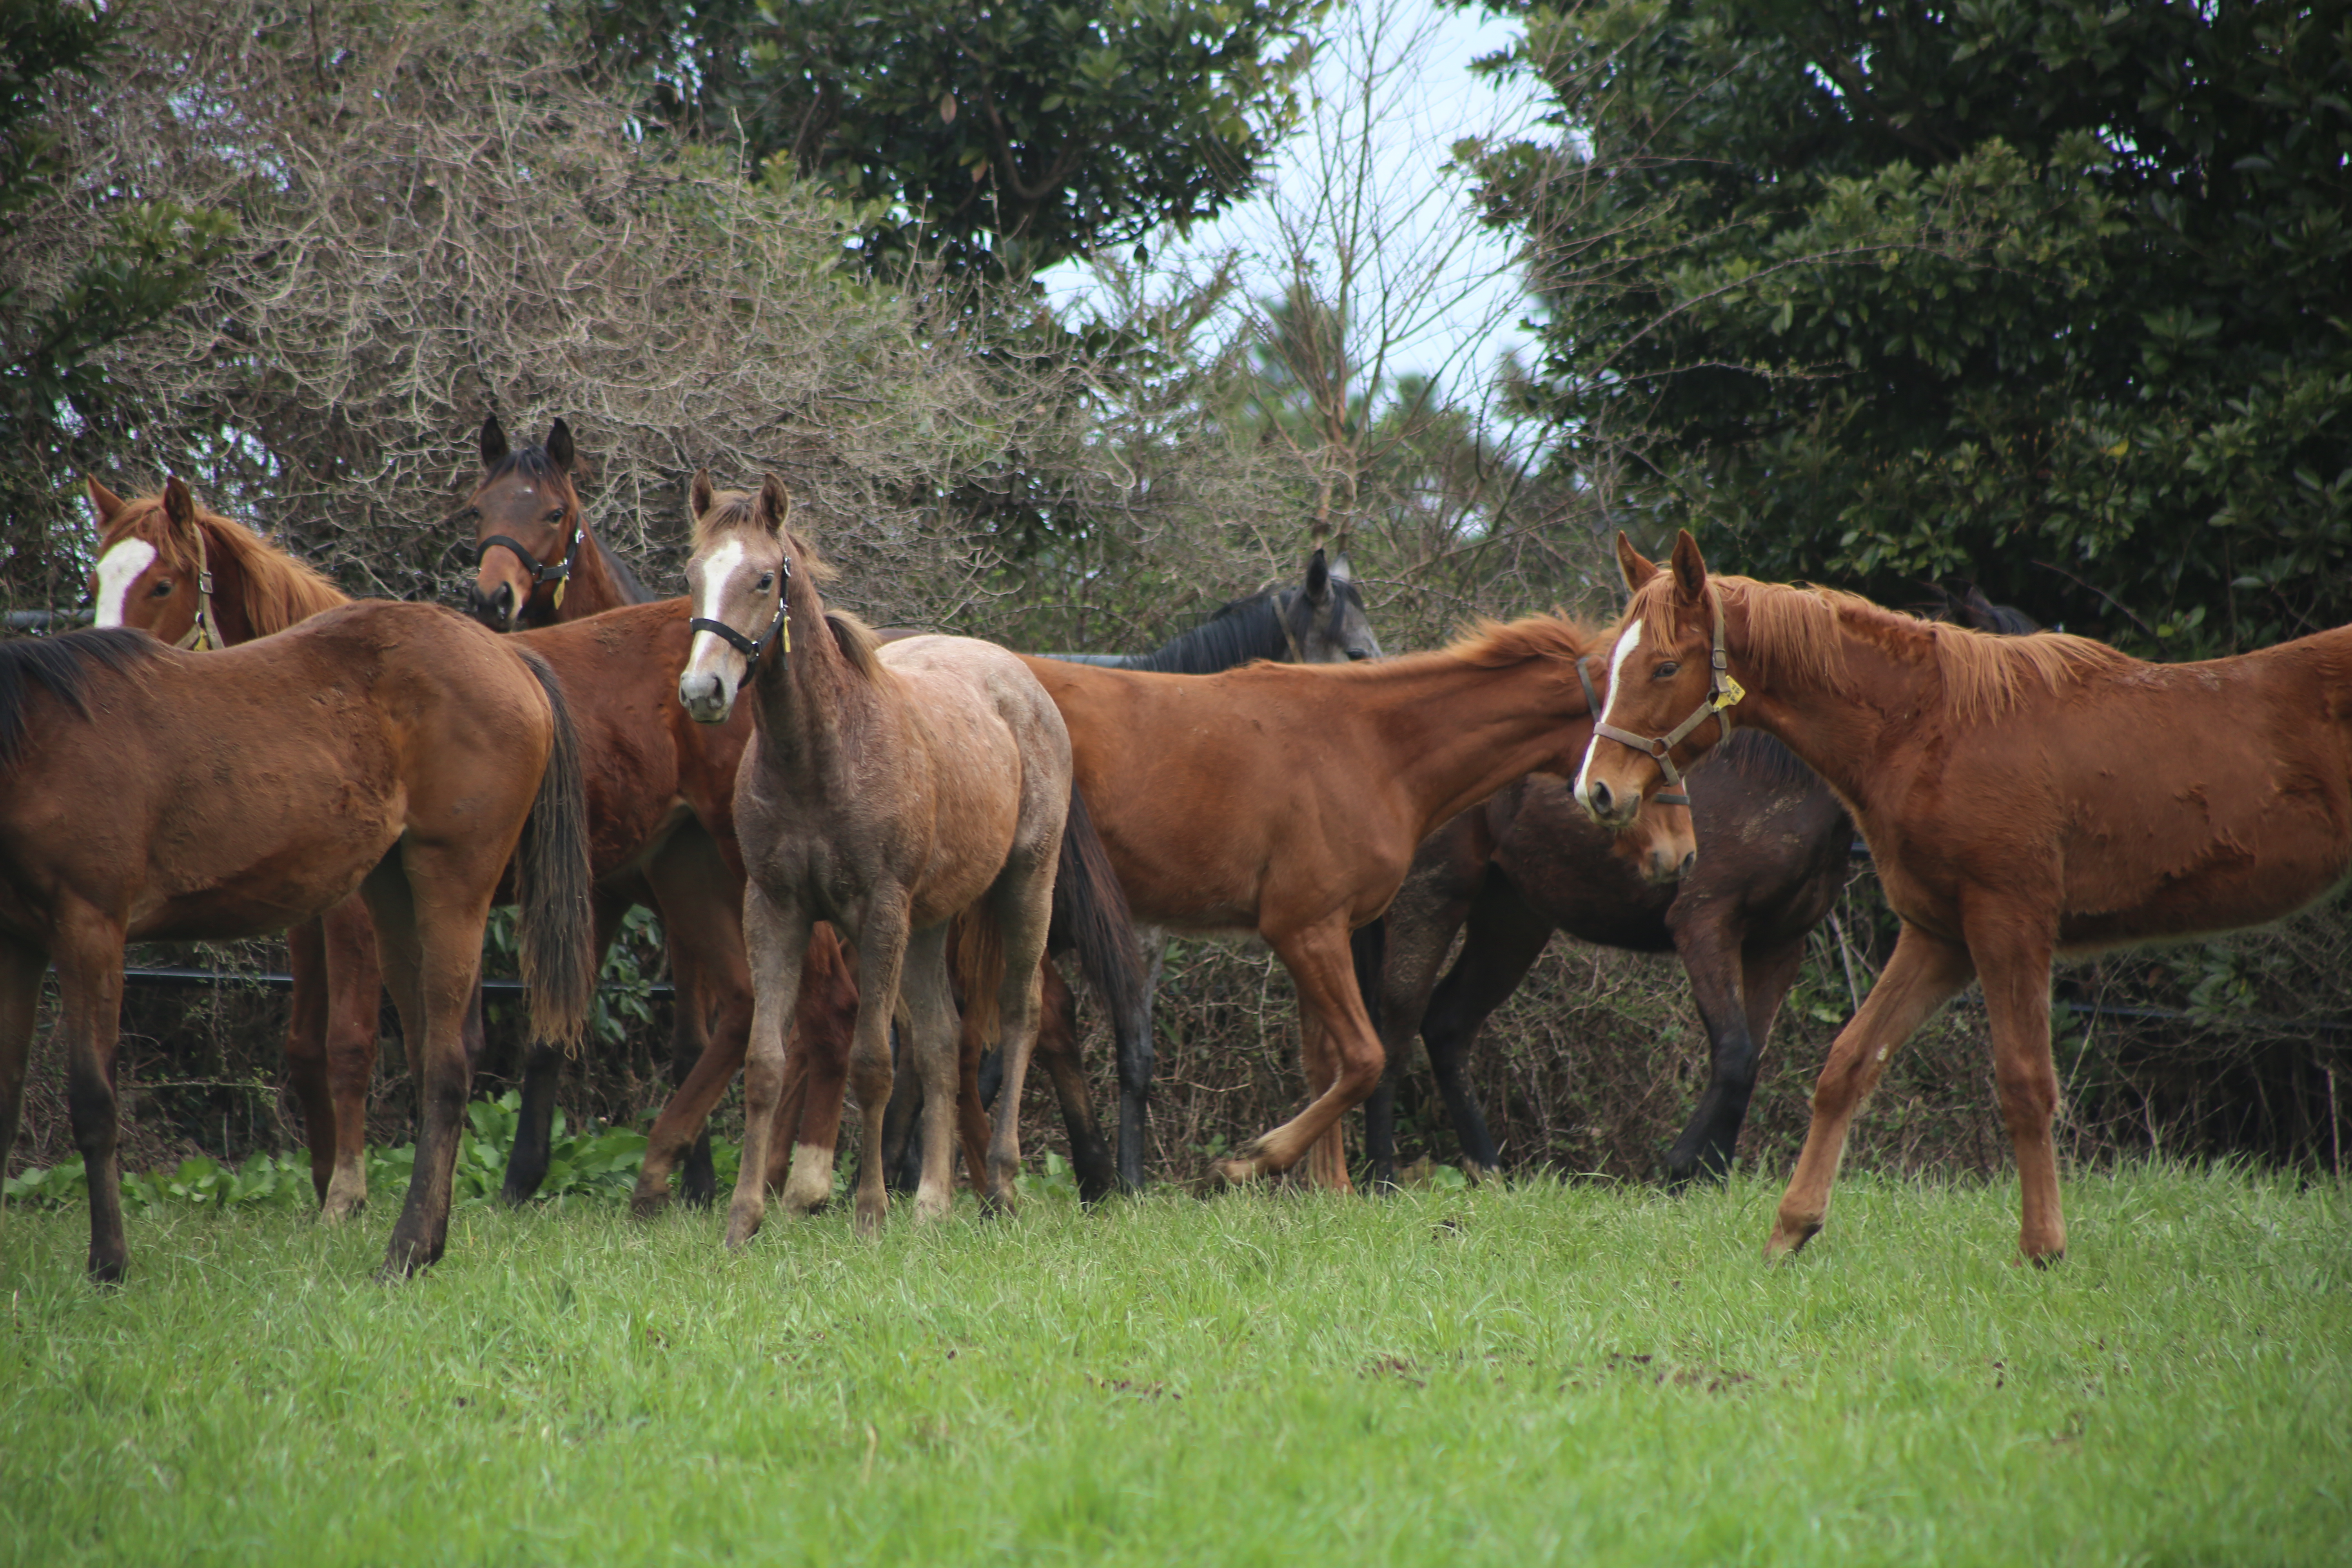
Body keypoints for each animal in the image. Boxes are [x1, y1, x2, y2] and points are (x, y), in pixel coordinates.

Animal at [4, 510, 592, 1278]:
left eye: (164, 583)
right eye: (96, 578)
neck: (37, 739)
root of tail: (509, 656)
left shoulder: (90, 931)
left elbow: (95, 1102)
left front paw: (110, 1263)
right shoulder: (18, 943)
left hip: (454, 884)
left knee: (448, 1066)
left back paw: (405, 1249)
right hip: (396, 896)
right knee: (433, 1048)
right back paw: (425, 1238)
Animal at [89, 479, 865, 1213]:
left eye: (162, 584)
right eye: (100, 574)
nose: (108, 674)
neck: (329, 693)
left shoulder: (358, 916)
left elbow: (351, 1045)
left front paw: (348, 1193)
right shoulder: (311, 919)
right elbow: (307, 1047)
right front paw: (330, 1181)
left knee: (827, 1006)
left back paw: (801, 1180)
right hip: (688, 875)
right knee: (745, 1008)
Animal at [677, 479, 1087, 1241]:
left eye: (764, 578)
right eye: (692, 576)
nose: (701, 692)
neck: (820, 756)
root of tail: (1020, 678)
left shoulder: (879, 912)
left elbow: (872, 1062)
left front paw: (869, 1211)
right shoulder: (774, 909)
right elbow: (767, 1064)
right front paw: (744, 1220)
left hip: (1025, 889)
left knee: (1019, 1016)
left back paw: (1001, 1186)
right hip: (929, 923)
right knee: (943, 1038)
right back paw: (931, 1203)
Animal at [1364, 728, 1853, 1185]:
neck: (1778, 777)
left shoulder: (1779, 947)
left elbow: (1751, 1059)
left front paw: (1713, 1178)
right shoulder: (1705, 922)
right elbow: (1736, 1052)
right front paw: (1680, 1173)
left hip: (1513, 920)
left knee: (1447, 1026)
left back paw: (1488, 1173)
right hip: (1432, 893)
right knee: (1393, 1032)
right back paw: (1380, 1178)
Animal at [1571, 533, 2352, 1269]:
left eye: (1665, 666)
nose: (1597, 790)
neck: (1936, 728)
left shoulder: (2010, 922)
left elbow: (2025, 1084)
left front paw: (2042, 1250)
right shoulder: (1939, 936)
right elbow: (1848, 1065)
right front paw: (1791, 1231)